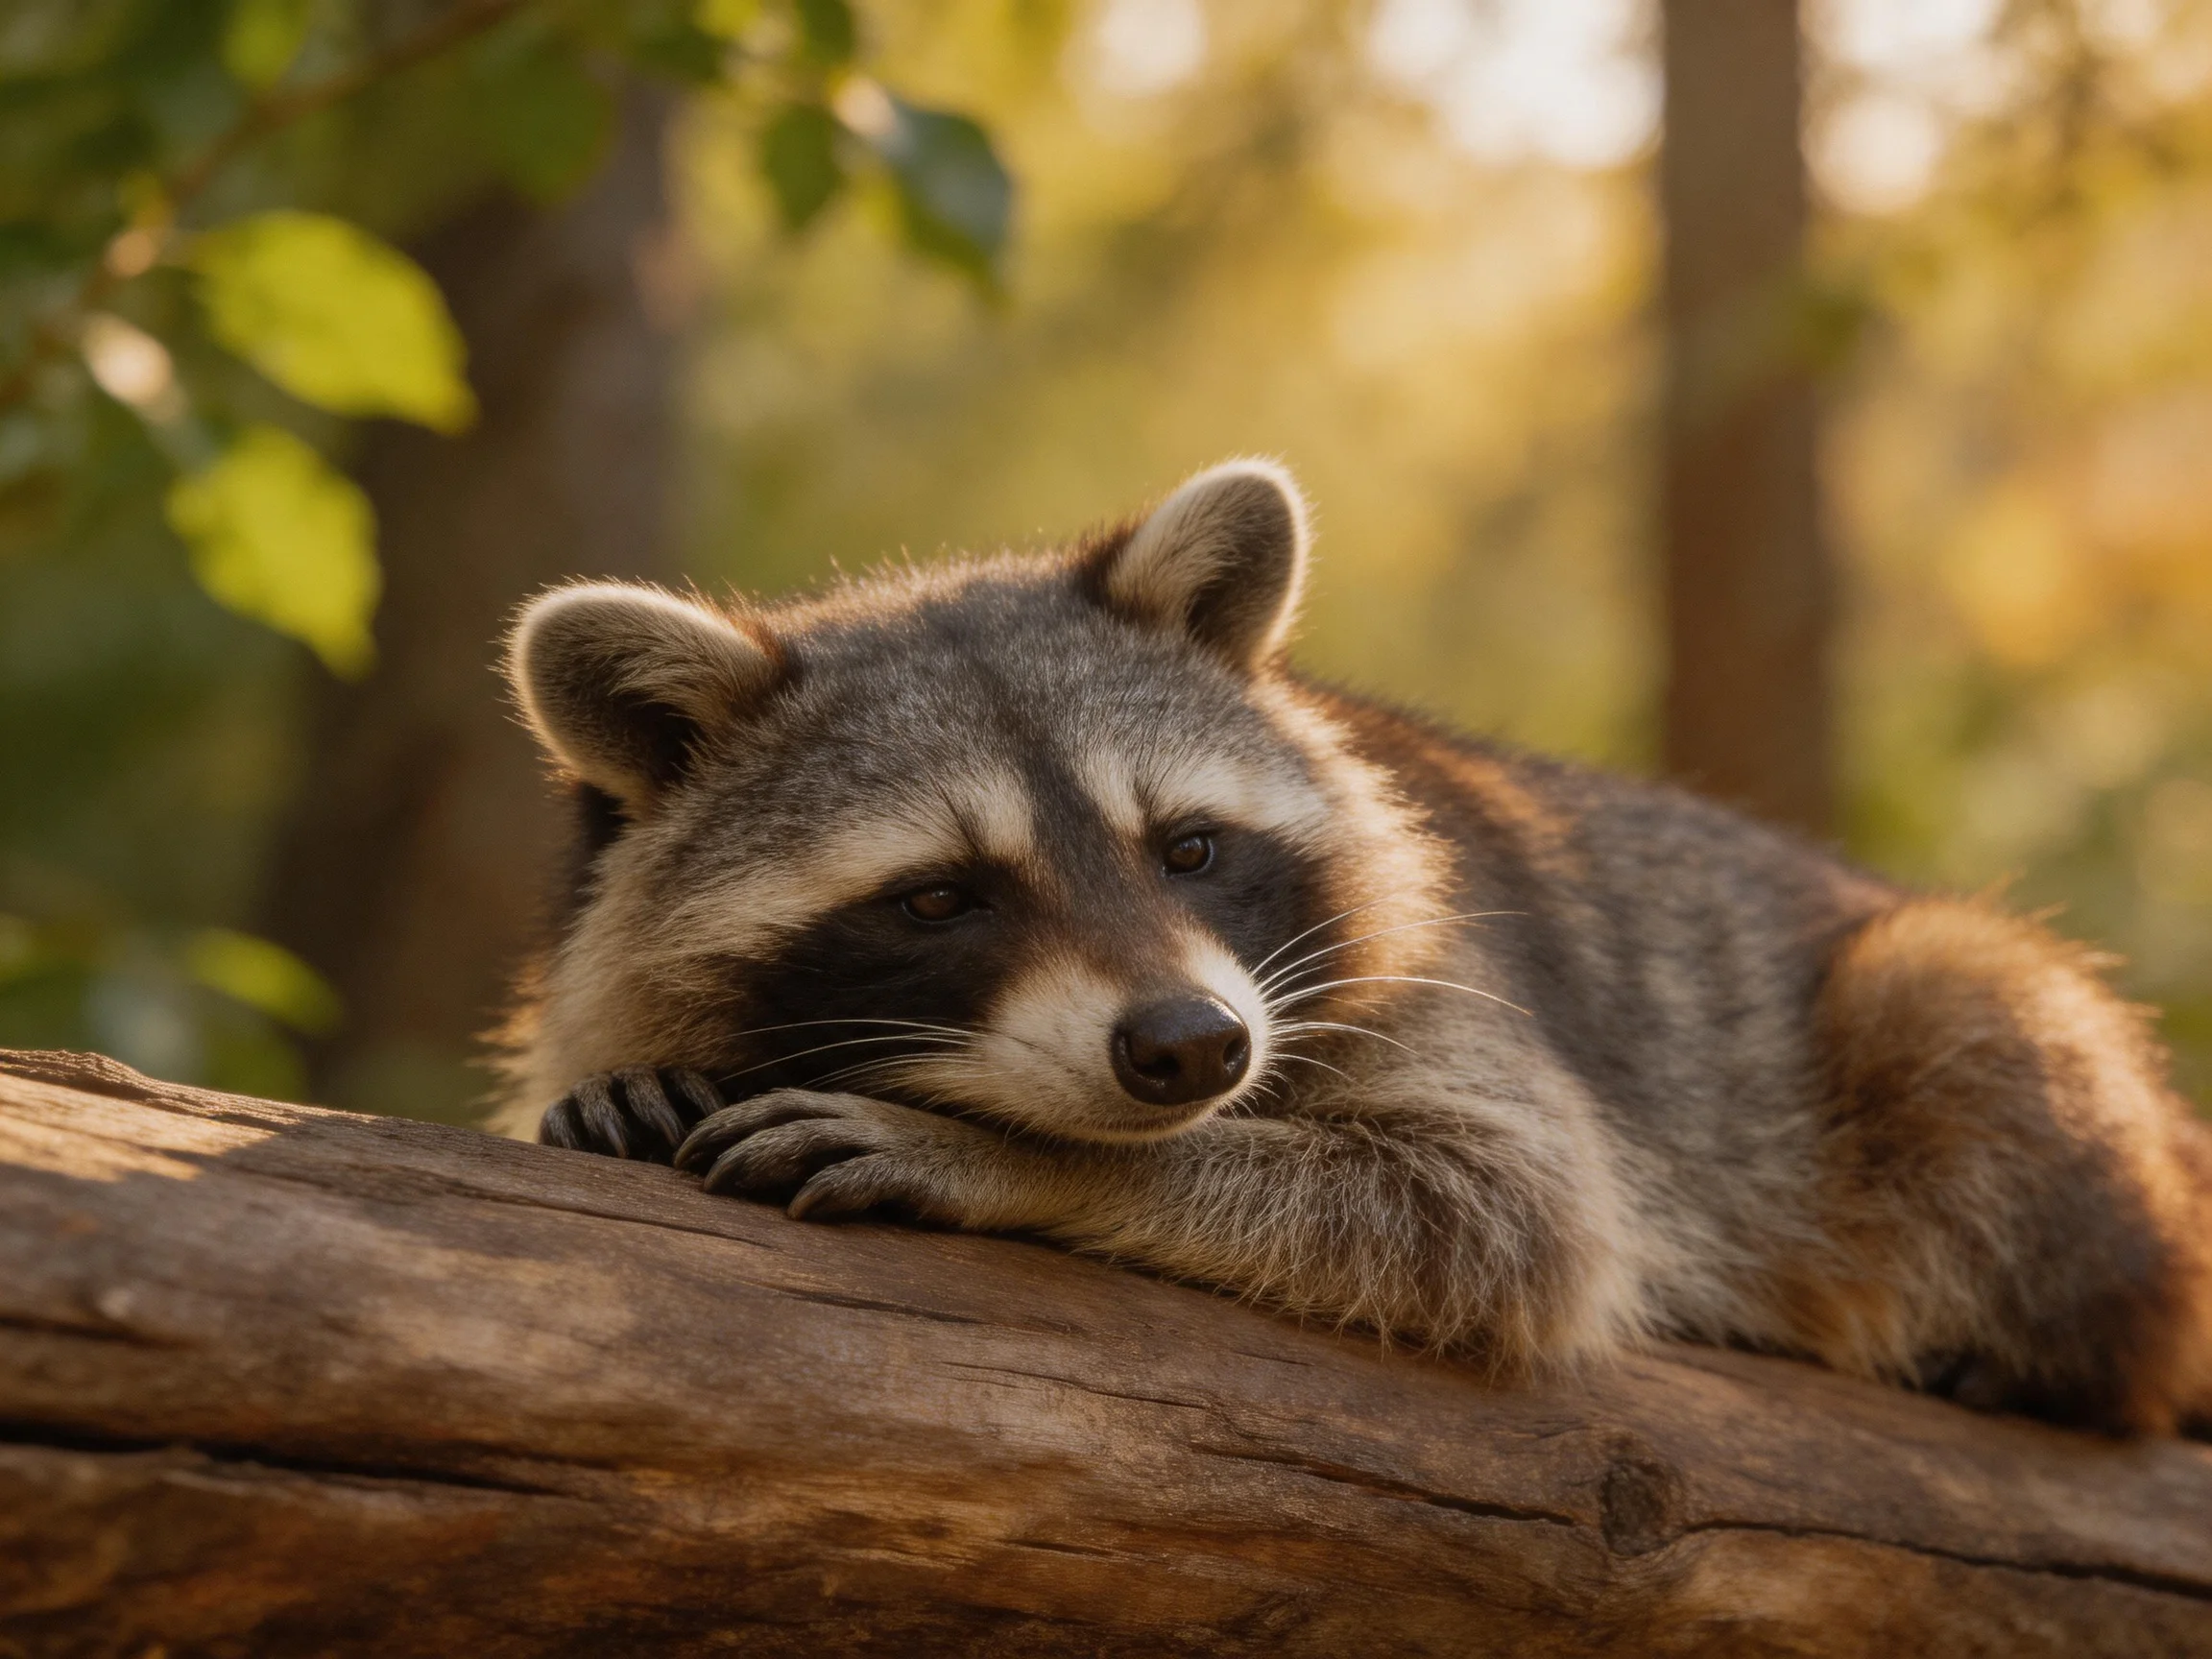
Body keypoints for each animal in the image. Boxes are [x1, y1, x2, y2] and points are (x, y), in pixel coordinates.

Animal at [494, 459, 2212, 1435]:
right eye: (940, 899)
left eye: (1188, 849)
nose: (1187, 1049)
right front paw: (638, 1086)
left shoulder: (1436, 984)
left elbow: (1506, 1213)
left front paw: (1013, 1156)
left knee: (1961, 998)